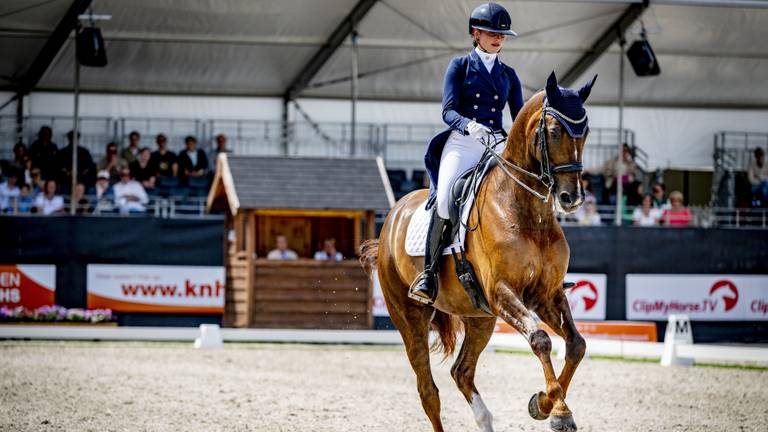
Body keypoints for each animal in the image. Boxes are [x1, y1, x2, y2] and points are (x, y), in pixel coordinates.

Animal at [364, 72, 596, 430]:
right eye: (555, 131)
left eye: (585, 132)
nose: (572, 198)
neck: (525, 211)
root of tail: (393, 216)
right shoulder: (502, 292)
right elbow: (540, 340)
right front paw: (558, 411)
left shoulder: (547, 295)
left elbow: (576, 345)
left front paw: (543, 404)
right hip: (410, 315)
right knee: (428, 390)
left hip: (480, 318)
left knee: (461, 371)